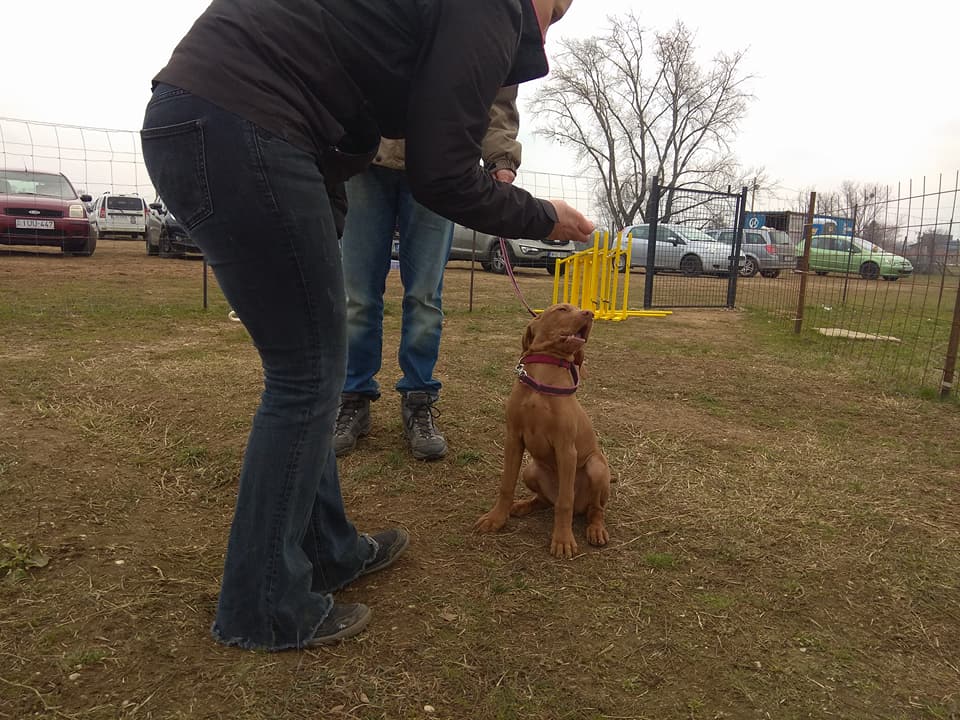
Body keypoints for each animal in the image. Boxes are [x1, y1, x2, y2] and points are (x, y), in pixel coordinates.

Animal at [474, 303, 610, 558]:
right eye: (562, 308)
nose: (590, 313)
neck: (542, 378)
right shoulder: (513, 439)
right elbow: (506, 485)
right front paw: (496, 519)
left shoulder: (566, 449)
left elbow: (565, 502)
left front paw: (563, 540)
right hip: (530, 470)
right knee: (545, 500)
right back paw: (522, 506)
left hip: (597, 467)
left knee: (593, 509)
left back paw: (596, 529)